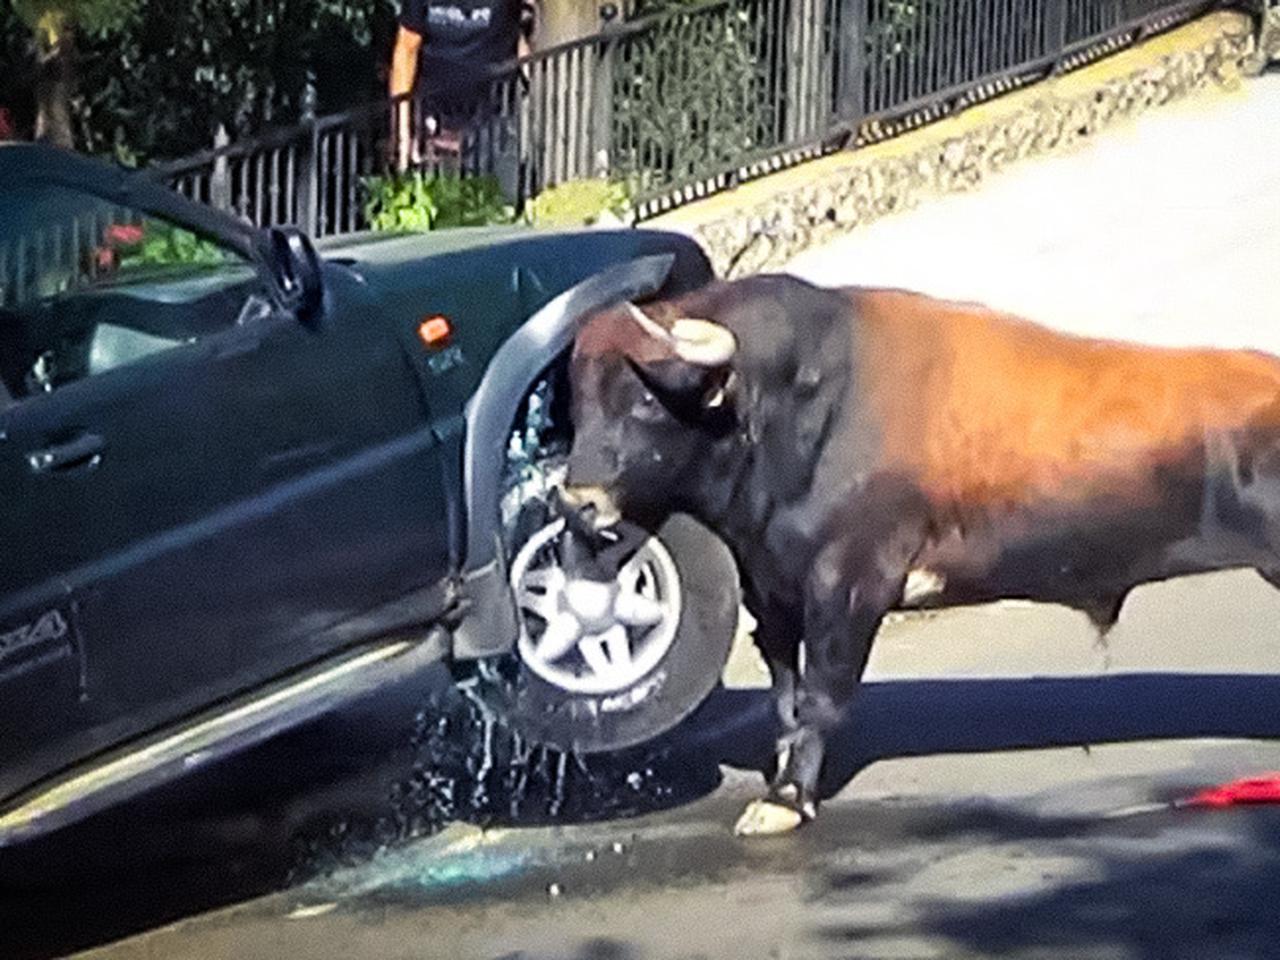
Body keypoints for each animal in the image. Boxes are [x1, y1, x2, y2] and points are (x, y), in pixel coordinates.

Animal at [560, 273, 1280, 839]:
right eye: (577, 402)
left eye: (644, 399)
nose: (578, 499)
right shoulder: (775, 597)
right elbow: (786, 698)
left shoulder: (848, 587)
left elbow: (822, 696)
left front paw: (786, 801)